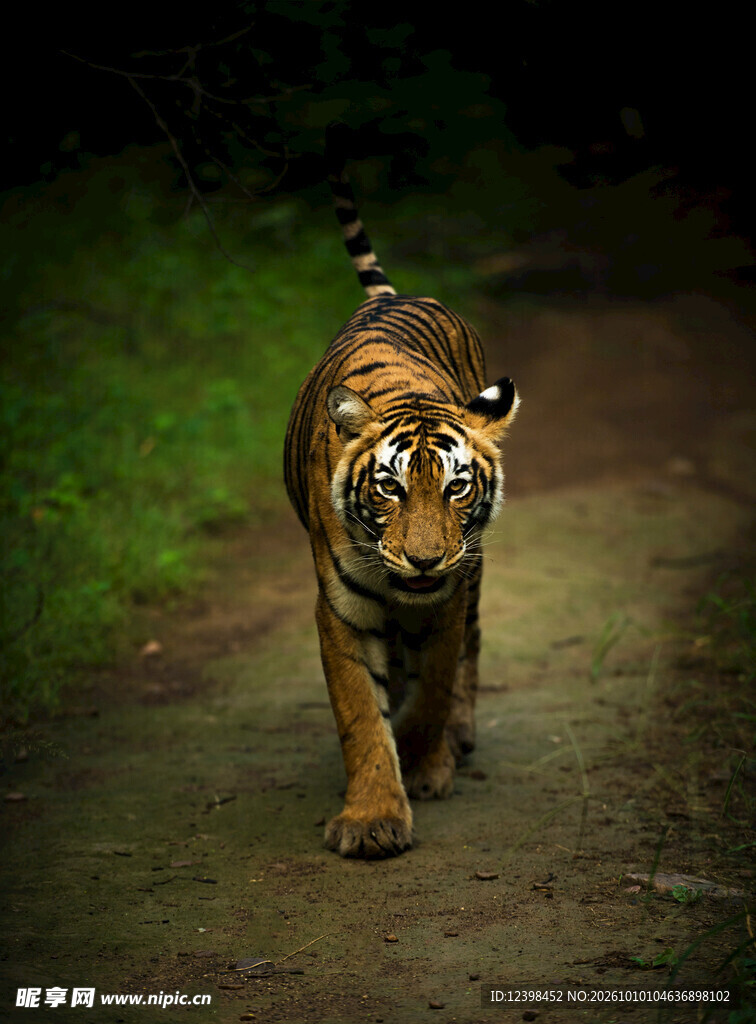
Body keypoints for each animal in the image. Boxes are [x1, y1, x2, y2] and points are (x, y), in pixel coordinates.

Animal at [284, 129, 519, 859]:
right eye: (388, 489)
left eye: (456, 488)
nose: (422, 560)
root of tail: (393, 294)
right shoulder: (341, 612)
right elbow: (362, 714)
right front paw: (372, 819)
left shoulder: (447, 597)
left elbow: (434, 685)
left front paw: (423, 759)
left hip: (475, 571)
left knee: (470, 647)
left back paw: (457, 739)